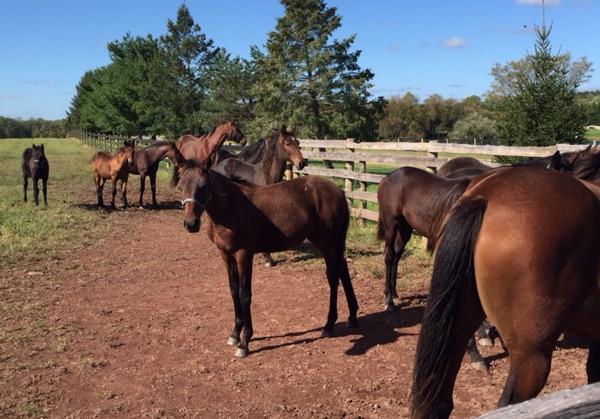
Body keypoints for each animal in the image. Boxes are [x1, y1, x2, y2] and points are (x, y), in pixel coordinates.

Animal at [171, 149, 358, 360]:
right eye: (181, 185)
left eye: (203, 186)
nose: (191, 224)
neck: (231, 207)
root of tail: (338, 191)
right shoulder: (225, 254)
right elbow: (233, 290)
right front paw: (234, 334)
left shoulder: (244, 254)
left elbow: (245, 294)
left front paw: (244, 342)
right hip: (332, 243)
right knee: (343, 269)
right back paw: (352, 317)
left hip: (327, 242)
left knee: (333, 277)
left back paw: (329, 324)